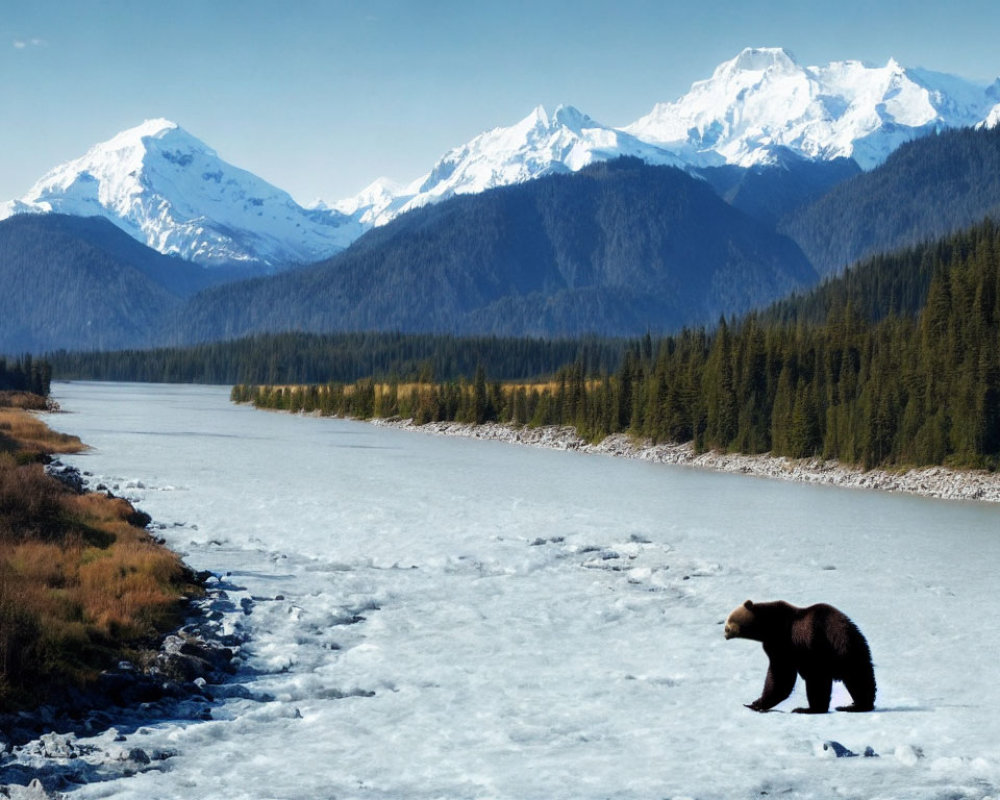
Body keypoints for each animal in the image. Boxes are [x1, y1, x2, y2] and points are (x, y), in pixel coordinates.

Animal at [728, 600, 876, 712]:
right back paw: (857, 705)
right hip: (854, 651)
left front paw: (756, 703)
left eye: (729, 621)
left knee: (817, 680)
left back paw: (808, 709)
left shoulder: (784, 642)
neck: (768, 626)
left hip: (821, 649)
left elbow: (781, 675)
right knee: (859, 678)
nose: (725, 632)